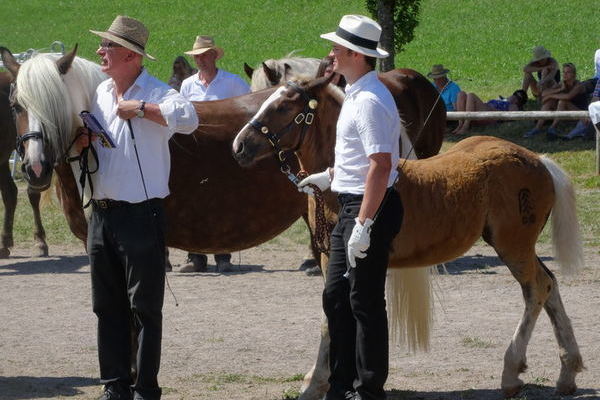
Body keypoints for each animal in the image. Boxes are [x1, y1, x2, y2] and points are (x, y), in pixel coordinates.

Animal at [233, 76, 584, 398]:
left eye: (284, 106)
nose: (239, 146)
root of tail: (539, 160)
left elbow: (334, 319)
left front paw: (321, 383)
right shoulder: (330, 260)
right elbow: (334, 315)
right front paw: (326, 381)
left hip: (513, 246)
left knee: (536, 289)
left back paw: (512, 373)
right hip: (521, 248)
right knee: (550, 284)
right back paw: (568, 373)